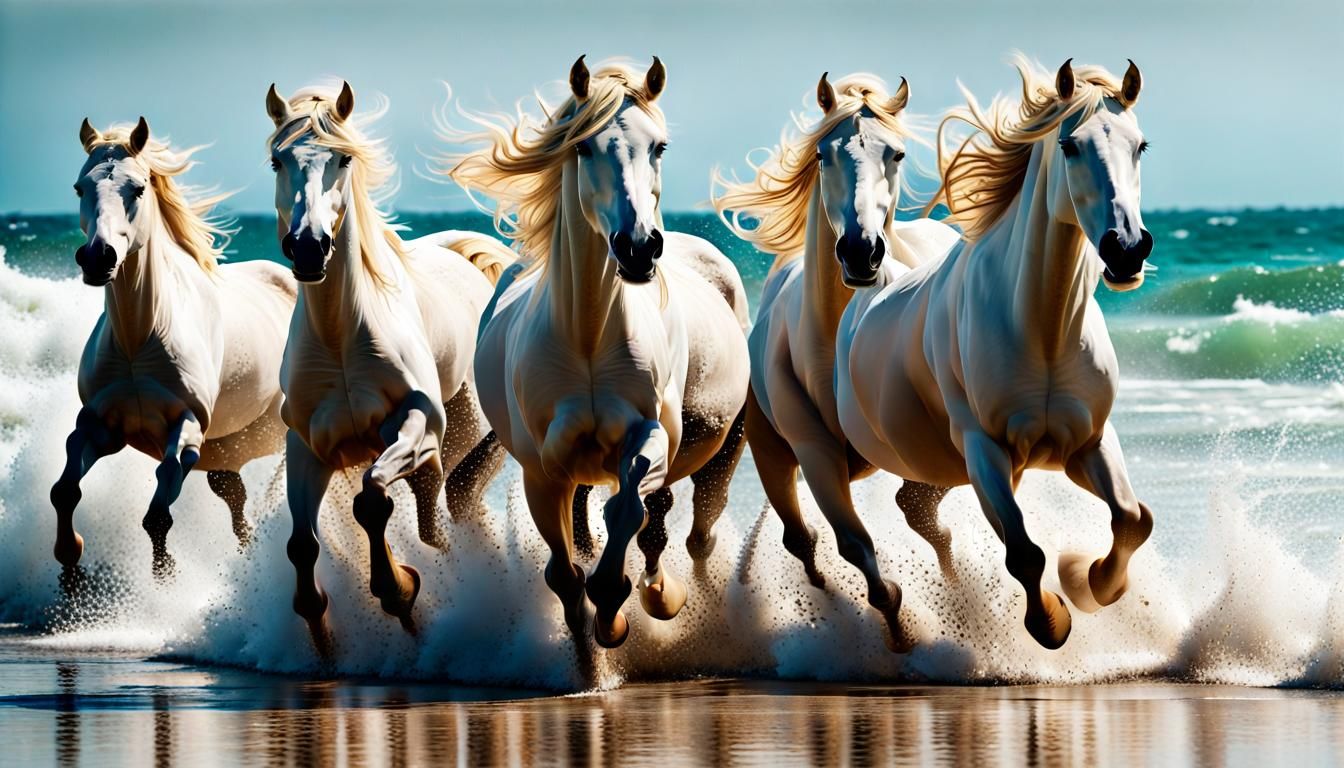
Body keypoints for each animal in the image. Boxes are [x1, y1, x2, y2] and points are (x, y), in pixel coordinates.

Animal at [51, 118, 297, 581]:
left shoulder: (186, 430)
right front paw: (70, 565)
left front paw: (164, 576)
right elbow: (65, 490)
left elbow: (158, 512)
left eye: (138, 188)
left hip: (274, 432)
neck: (138, 340)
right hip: (228, 448)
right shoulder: (100, 425)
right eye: (78, 187)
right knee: (233, 495)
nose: (97, 257)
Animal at [265, 82, 515, 648]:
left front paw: (400, 590)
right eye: (277, 160)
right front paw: (322, 635)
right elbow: (301, 544)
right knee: (433, 526)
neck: (342, 336)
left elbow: (372, 500)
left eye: (342, 158)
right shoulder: (307, 447)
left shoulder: (413, 427)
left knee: (436, 526)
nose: (308, 246)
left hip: (446, 443)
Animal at [439, 57, 750, 655]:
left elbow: (627, 511)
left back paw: (677, 600)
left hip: (723, 450)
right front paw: (589, 649)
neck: (588, 337)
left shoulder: (651, 439)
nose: (639, 247)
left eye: (659, 145)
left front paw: (618, 610)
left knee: (692, 529)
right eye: (582, 146)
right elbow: (566, 571)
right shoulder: (544, 471)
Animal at [711, 73, 961, 650]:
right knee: (802, 539)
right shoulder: (812, 453)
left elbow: (921, 515)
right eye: (823, 155)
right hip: (777, 458)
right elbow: (850, 544)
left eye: (896, 153)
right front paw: (899, 632)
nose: (860, 251)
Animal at [835, 58, 1156, 649]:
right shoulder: (985, 450)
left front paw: (1092, 582)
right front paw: (1051, 620)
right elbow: (1024, 553)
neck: (1043, 330)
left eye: (1140, 145)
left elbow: (1131, 518)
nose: (1126, 249)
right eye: (1070, 145)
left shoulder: (1088, 443)